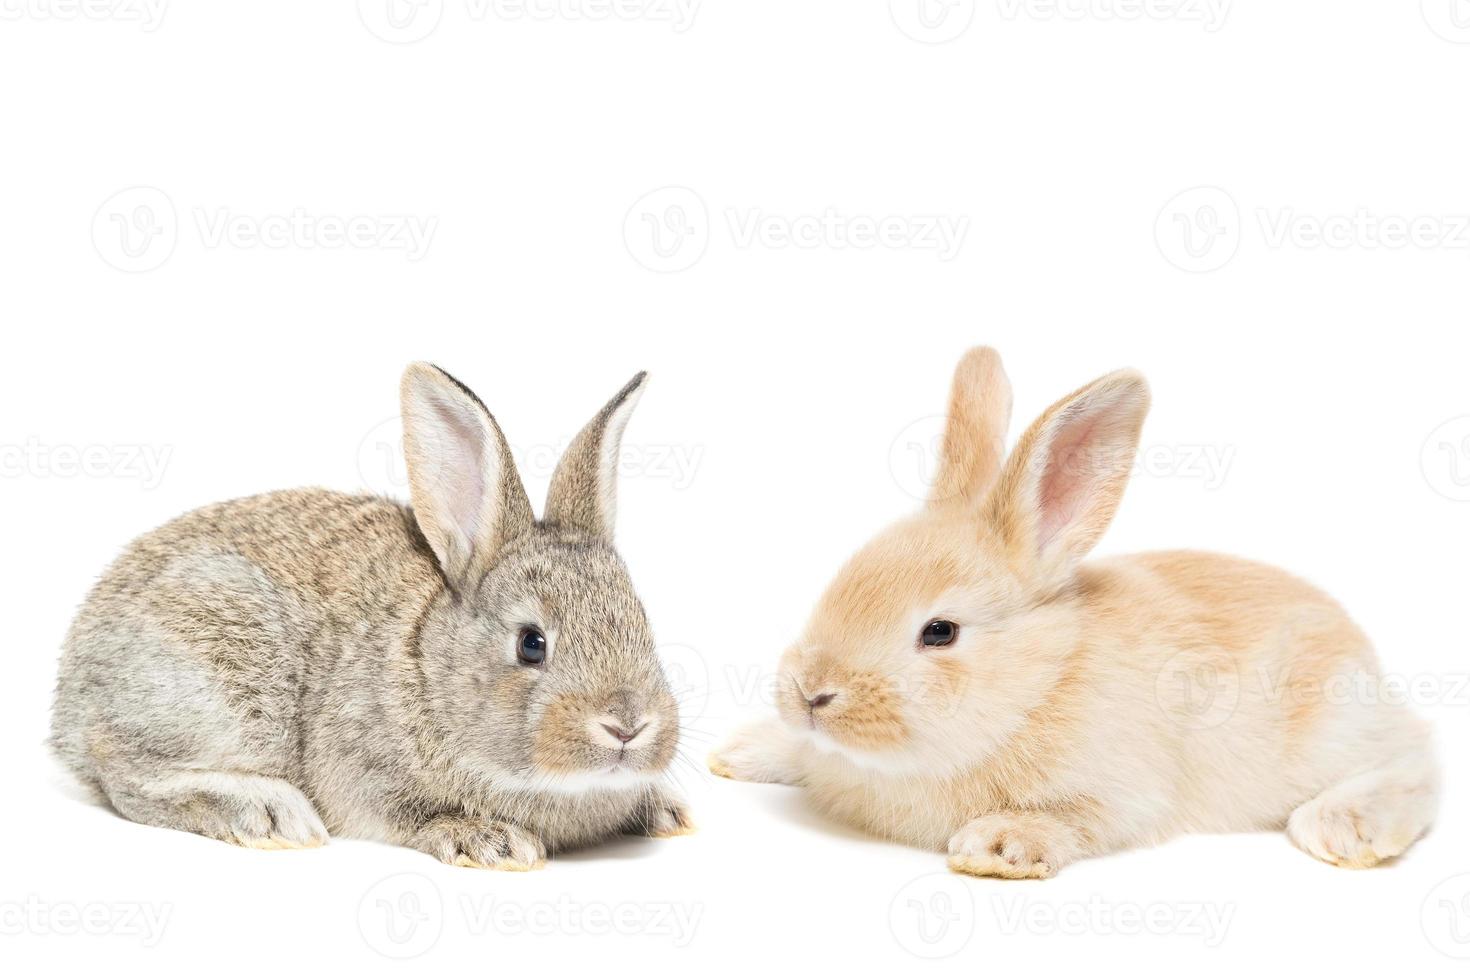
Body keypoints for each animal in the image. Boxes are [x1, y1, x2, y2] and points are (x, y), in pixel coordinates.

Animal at [48, 364, 685, 869]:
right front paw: (490, 841)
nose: (627, 726)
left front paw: (666, 812)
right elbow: (412, 814)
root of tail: (70, 701)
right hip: (218, 680)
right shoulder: (368, 772)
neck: (429, 668)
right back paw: (270, 813)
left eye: (642, 625)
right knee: (125, 772)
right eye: (532, 643)